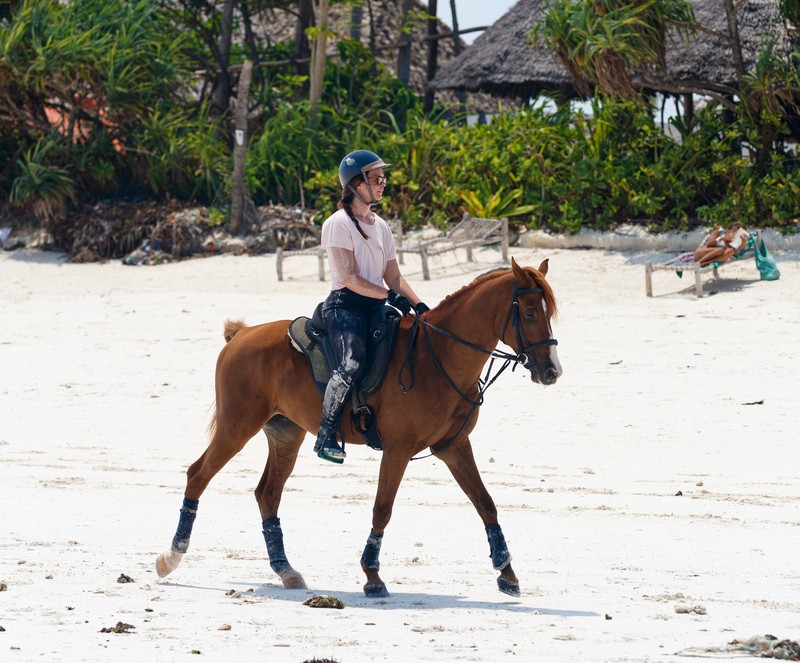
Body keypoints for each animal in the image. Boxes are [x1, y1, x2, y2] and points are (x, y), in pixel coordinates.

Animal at [155, 258, 556, 596]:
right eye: (529, 312)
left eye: (549, 312)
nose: (551, 371)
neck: (438, 357)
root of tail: (241, 334)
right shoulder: (398, 450)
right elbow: (383, 508)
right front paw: (372, 574)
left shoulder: (454, 448)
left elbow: (486, 504)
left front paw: (506, 571)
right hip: (237, 426)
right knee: (198, 476)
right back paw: (171, 557)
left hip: (285, 434)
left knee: (267, 494)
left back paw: (286, 570)